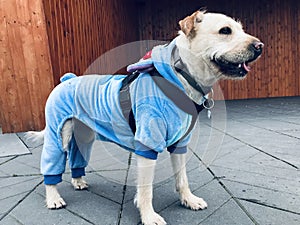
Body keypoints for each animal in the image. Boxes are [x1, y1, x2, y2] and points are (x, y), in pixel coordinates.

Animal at [28, 10, 262, 225]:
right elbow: (146, 190)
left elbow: (182, 178)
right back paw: (53, 197)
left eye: (240, 29)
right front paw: (149, 217)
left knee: (77, 157)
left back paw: (78, 181)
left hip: (84, 137)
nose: (260, 46)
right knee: (52, 164)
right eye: (225, 31)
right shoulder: (147, 145)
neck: (181, 76)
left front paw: (189, 200)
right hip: (58, 134)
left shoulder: (180, 144)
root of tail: (66, 80)